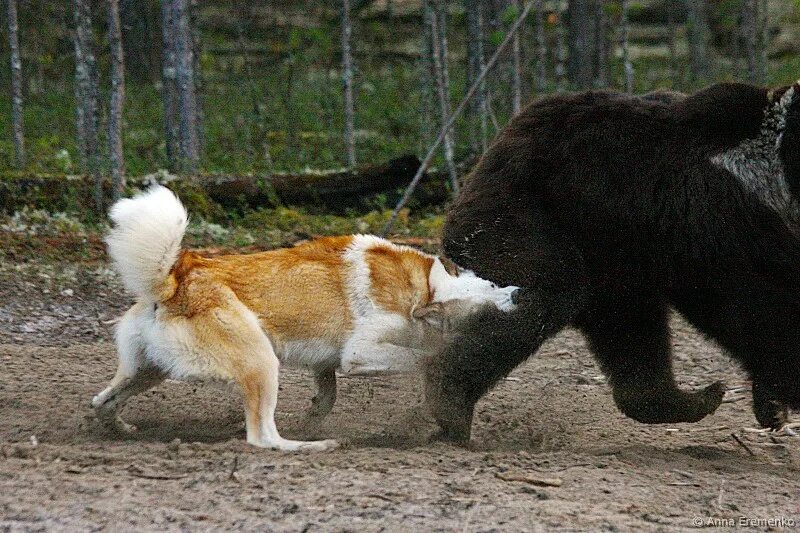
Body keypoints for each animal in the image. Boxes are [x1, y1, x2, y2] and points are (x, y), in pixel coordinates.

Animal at [92, 185, 520, 450]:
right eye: (489, 295)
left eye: (491, 281)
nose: (518, 293)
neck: (425, 290)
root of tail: (176, 276)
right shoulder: (359, 353)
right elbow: (416, 357)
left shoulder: (326, 362)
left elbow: (328, 395)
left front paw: (313, 415)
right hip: (261, 362)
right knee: (263, 437)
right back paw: (313, 446)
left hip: (147, 371)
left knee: (102, 402)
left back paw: (120, 429)